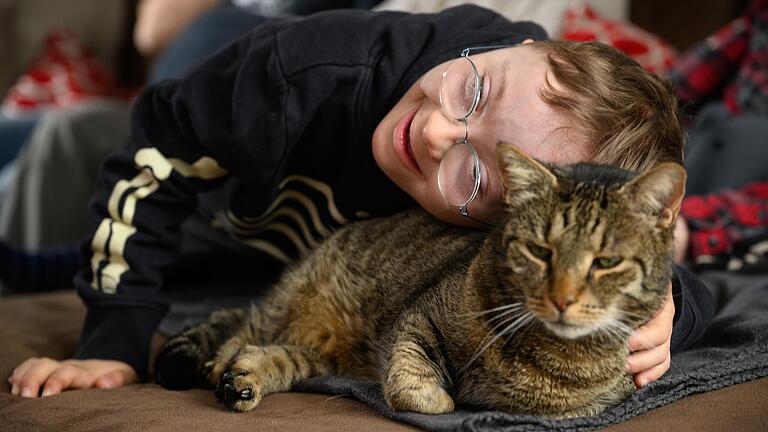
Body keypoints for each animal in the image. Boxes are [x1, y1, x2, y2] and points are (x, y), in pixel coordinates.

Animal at [156, 145, 684, 418]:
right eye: (540, 251)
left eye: (606, 262)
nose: (562, 298)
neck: (546, 352)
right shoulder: (417, 315)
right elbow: (417, 384)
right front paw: (441, 396)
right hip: (290, 302)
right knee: (243, 326)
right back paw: (220, 366)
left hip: (319, 353)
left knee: (273, 354)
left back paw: (243, 380)